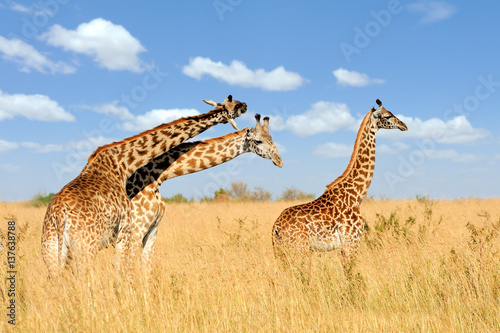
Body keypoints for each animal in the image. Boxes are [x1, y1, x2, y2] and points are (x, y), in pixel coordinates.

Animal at [41, 94, 248, 274]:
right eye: (234, 104)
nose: (245, 105)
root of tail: (59, 214)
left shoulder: (152, 230)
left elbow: (145, 270)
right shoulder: (131, 232)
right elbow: (127, 272)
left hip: (51, 249)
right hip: (86, 246)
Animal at [125, 113, 282, 272]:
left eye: (272, 138)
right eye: (258, 141)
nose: (279, 161)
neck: (154, 178)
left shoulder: (153, 230)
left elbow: (146, 270)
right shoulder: (135, 231)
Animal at [272, 98, 408, 268]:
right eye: (388, 116)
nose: (404, 125)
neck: (357, 194)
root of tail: (275, 227)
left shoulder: (346, 245)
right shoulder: (352, 242)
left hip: (282, 252)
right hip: (299, 249)